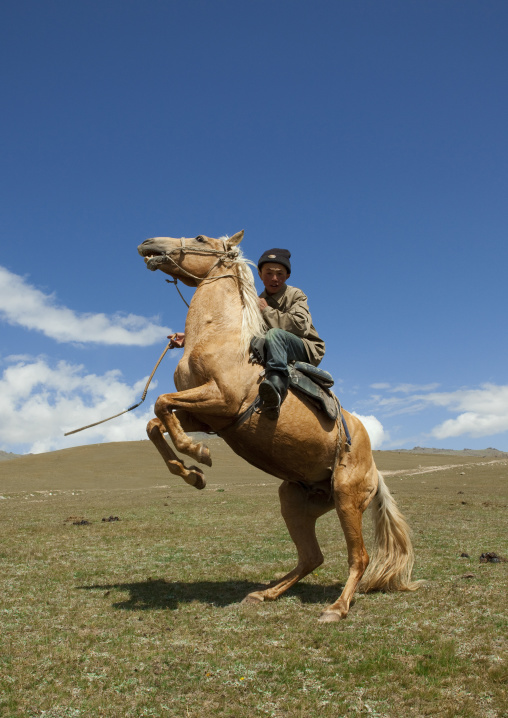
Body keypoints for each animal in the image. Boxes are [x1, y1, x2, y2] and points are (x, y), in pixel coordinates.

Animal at [137, 231, 418, 622]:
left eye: (200, 238)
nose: (149, 243)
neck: (222, 336)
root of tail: (374, 471)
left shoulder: (221, 400)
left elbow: (160, 403)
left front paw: (198, 454)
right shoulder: (208, 415)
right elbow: (155, 421)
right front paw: (191, 473)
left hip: (347, 497)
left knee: (358, 557)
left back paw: (336, 608)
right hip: (296, 501)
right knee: (311, 557)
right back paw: (264, 594)